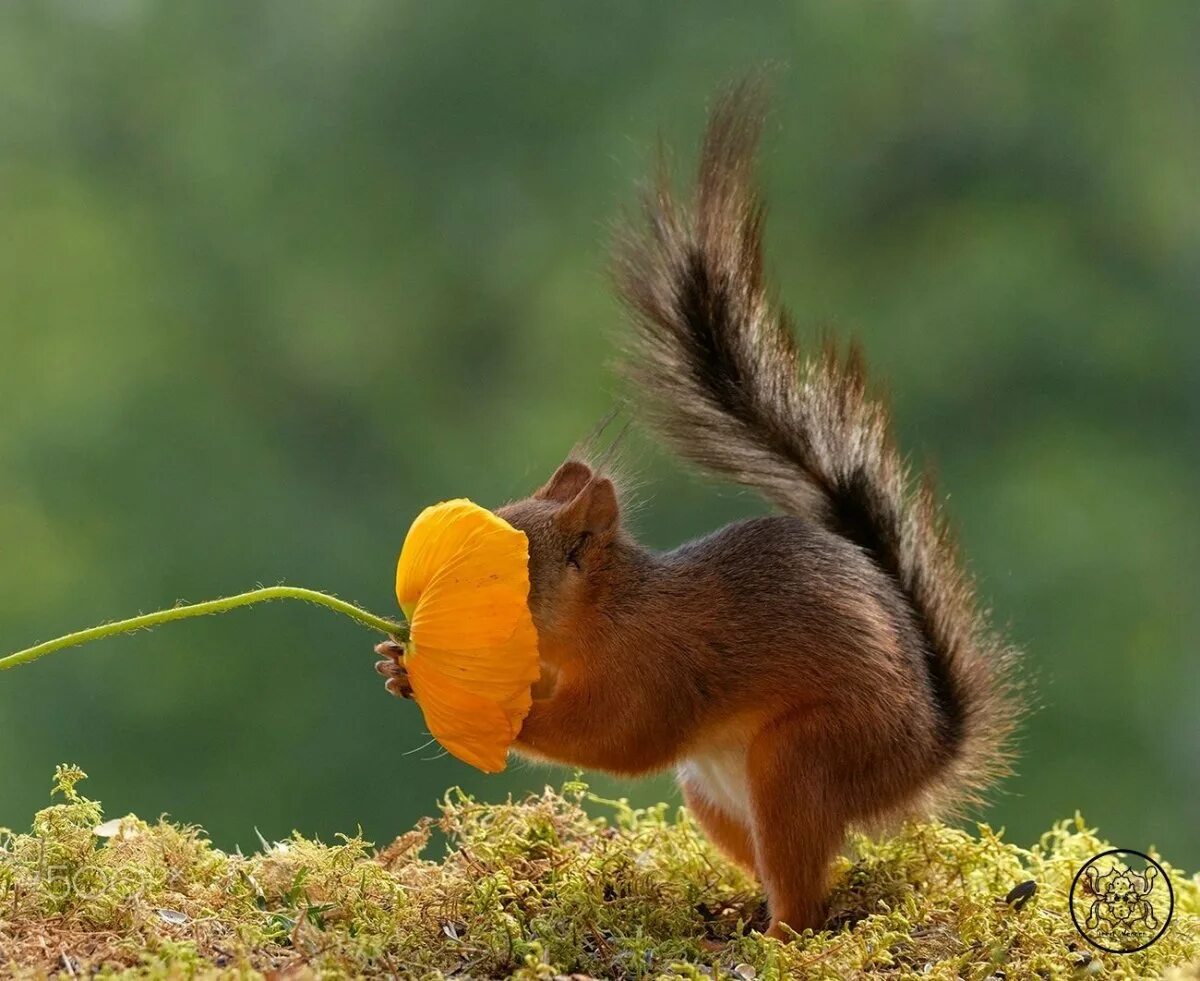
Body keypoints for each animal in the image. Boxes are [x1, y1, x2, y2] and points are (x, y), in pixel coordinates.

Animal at [372, 85, 1012, 940]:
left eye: (516, 562)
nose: (418, 616)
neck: (611, 614)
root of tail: (923, 757)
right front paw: (397, 668)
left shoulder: (660, 669)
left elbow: (616, 736)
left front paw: (507, 716)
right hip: (711, 794)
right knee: (806, 870)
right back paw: (743, 908)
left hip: (803, 758)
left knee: (808, 891)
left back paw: (778, 933)